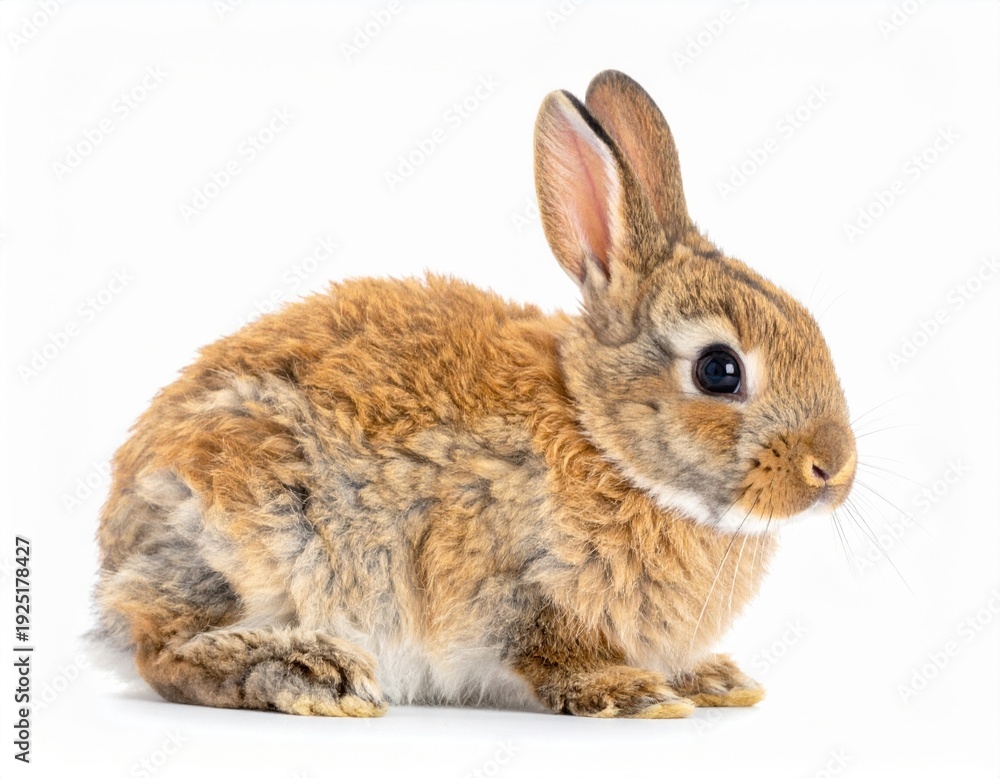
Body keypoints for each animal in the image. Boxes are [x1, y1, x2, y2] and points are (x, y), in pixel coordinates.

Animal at [94, 70, 856, 719]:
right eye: (719, 371)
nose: (834, 469)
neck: (602, 439)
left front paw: (715, 680)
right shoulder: (513, 581)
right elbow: (550, 650)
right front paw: (631, 692)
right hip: (258, 534)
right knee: (162, 654)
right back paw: (307, 671)